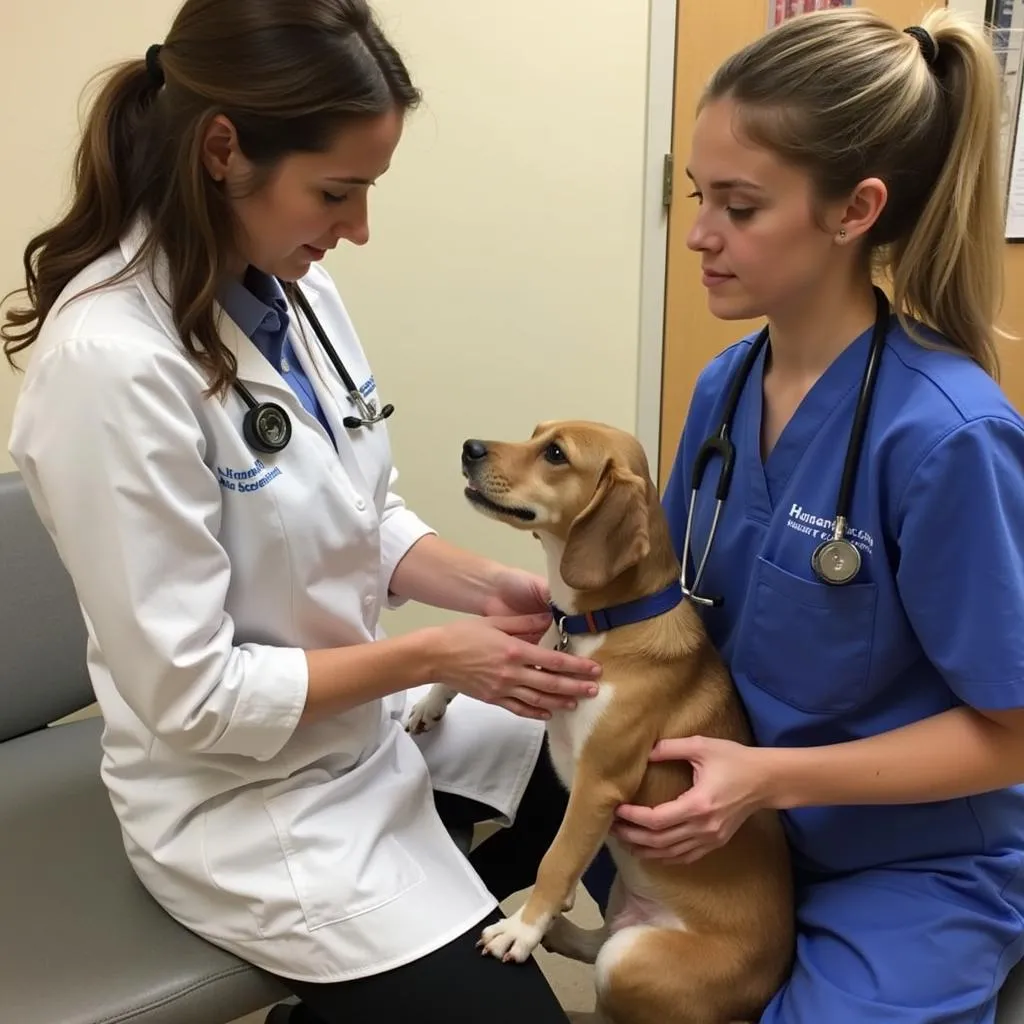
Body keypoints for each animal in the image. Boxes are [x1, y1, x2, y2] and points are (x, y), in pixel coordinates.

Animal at [405, 417, 790, 1024]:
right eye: (535, 432)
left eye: (556, 454)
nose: (470, 447)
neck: (598, 623)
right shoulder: (534, 659)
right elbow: (482, 658)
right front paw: (429, 701)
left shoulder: (598, 786)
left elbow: (557, 858)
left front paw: (521, 930)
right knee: (598, 938)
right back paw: (558, 930)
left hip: (628, 961)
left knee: (606, 954)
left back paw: (541, 929)